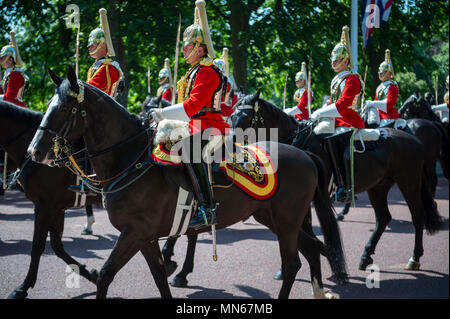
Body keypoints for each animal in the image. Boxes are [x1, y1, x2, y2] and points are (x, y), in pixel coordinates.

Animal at [0, 100, 100, 300]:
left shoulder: (44, 206)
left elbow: (38, 246)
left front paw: (22, 287)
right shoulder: (56, 207)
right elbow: (57, 246)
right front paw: (93, 275)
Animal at [28, 67, 348, 300]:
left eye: (64, 109)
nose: (35, 151)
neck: (130, 159)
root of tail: (304, 153)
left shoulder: (134, 232)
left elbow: (106, 275)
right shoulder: (145, 237)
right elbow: (159, 278)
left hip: (286, 221)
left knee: (293, 263)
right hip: (272, 218)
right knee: (311, 250)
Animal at [232, 91, 442, 274]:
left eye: (245, 117)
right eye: (232, 115)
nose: (230, 146)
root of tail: (414, 139)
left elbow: (304, 228)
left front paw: (323, 255)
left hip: (409, 182)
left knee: (418, 215)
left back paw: (414, 258)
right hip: (378, 187)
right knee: (383, 218)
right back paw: (365, 256)